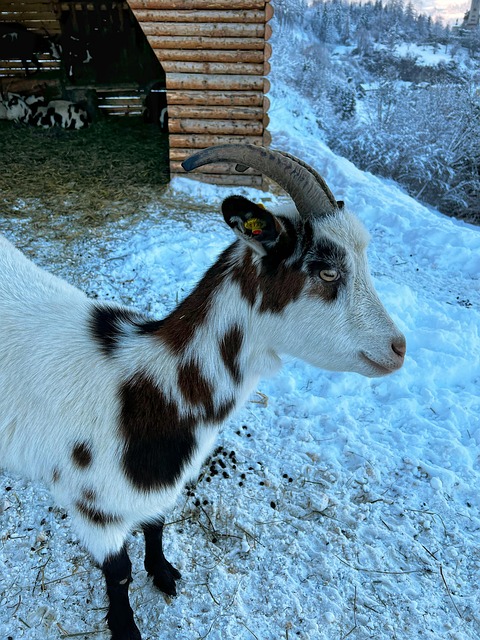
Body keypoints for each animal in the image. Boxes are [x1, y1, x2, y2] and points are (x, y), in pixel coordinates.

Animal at [0, 145, 406, 640]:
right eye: (328, 272)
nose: (399, 348)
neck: (143, 386)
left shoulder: (159, 491)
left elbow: (155, 527)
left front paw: (164, 573)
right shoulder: (94, 508)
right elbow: (119, 573)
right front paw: (126, 627)